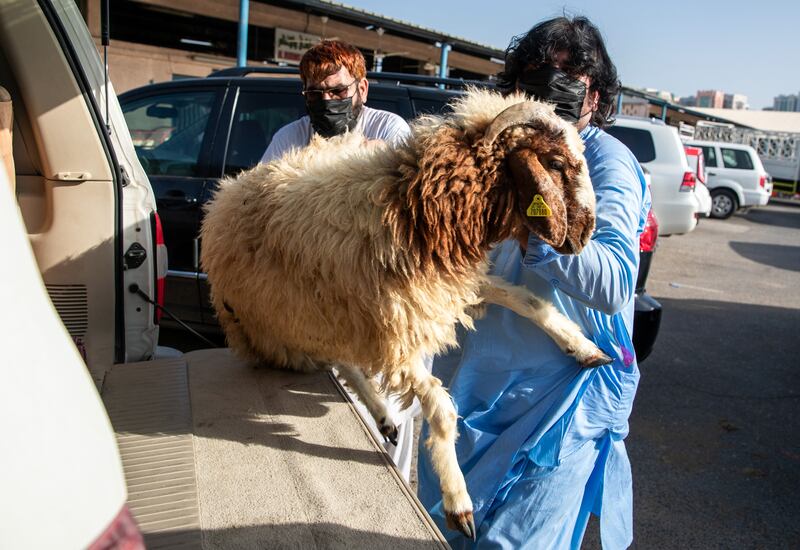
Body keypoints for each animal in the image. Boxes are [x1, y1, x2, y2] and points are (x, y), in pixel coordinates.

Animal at [202, 88, 612, 540]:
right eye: (555, 163)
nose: (584, 236)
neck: (415, 207)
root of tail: (223, 195)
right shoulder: (395, 334)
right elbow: (441, 408)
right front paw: (458, 501)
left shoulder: (445, 290)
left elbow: (529, 302)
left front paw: (584, 348)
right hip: (285, 327)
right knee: (336, 359)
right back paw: (381, 412)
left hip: (322, 315)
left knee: (340, 358)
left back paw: (383, 416)